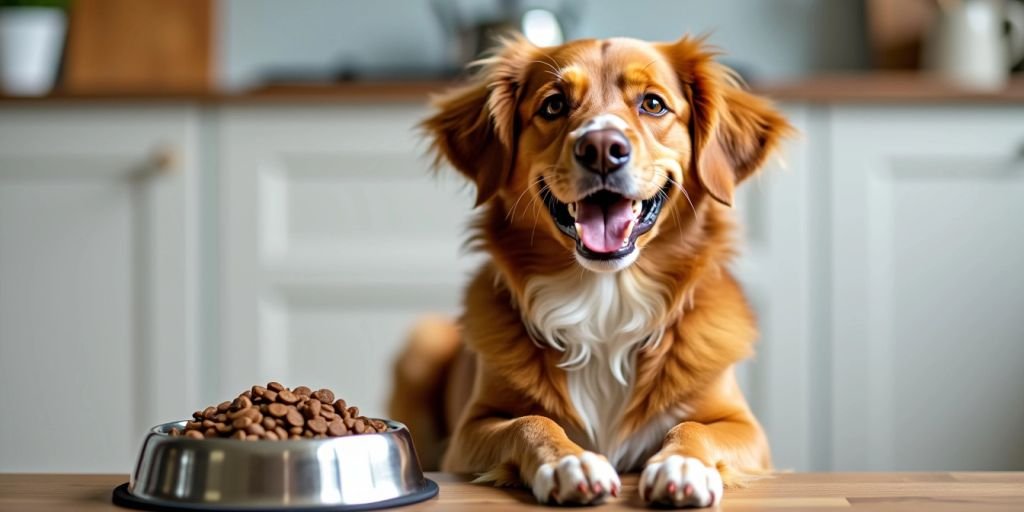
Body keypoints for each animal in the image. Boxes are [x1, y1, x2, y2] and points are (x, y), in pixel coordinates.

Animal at [385, 36, 790, 507]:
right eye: (554, 105)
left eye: (653, 104)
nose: (601, 148)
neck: (606, 302)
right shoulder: (469, 433)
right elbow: (529, 422)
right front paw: (570, 462)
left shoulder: (745, 428)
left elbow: (692, 427)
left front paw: (683, 465)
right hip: (422, 343)